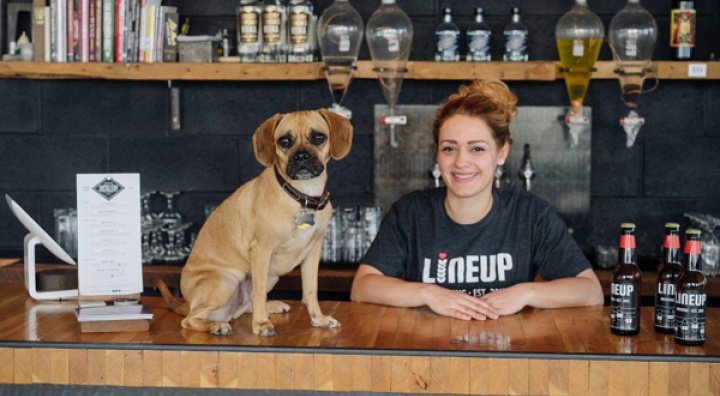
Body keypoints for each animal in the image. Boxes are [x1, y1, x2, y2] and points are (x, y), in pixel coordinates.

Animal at [156, 110, 352, 336]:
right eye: (284, 141)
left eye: (319, 137)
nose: (301, 156)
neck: (301, 195)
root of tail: (188, 302)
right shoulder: (261, 250)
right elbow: (258, 294)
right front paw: (261, 324)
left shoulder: (313, 251)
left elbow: (310, 290)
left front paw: (318, 319)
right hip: (226, 281)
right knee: (190, 320)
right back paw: (217, 325)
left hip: (271, 276)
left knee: (242, 308)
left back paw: (270, 306)